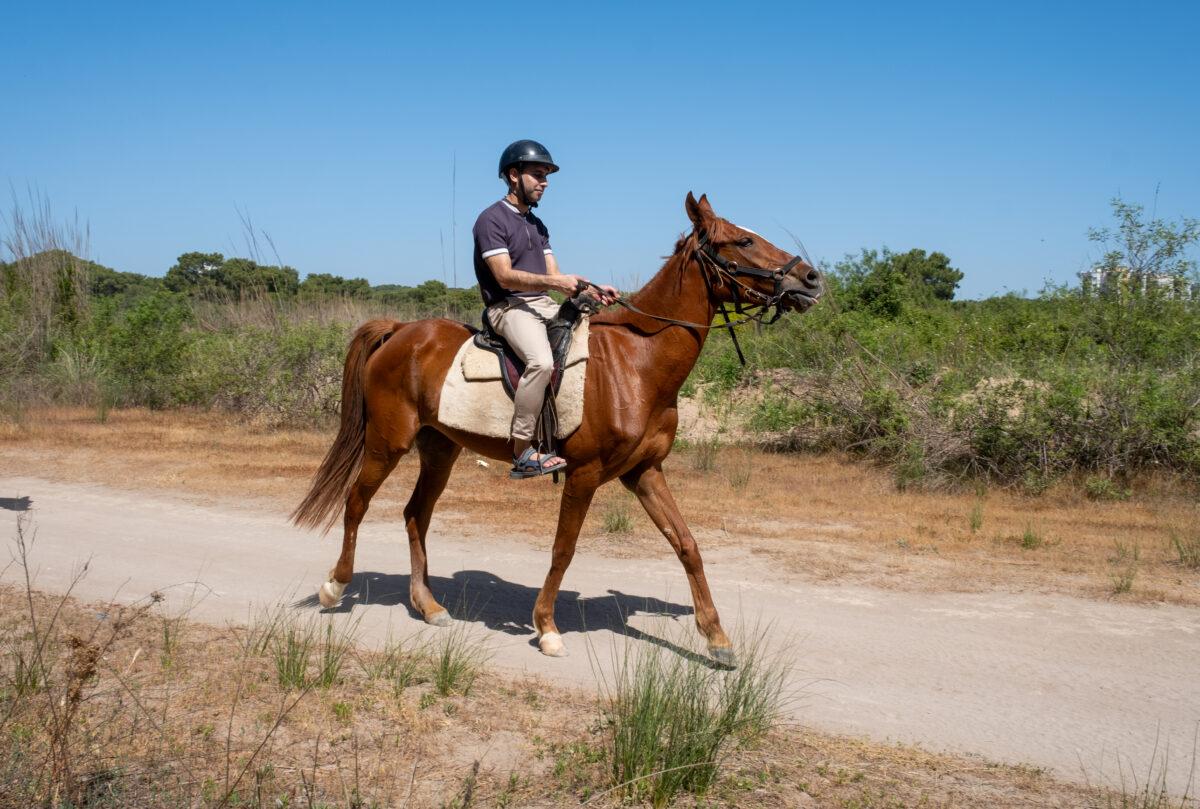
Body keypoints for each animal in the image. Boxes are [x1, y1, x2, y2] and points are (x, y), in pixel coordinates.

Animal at [291, 192, 820, 662]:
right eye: (743, 241)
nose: (812, 279)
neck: (637, 361)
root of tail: (401, 331)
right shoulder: (584, 474)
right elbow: (564, 549)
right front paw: (546, 628)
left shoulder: (645, 473)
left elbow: (687, 544)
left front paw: (717, 639)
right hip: (387, 443)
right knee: (357, 502)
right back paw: (334, 587)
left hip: (439, 450)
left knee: (415, 515)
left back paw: (429, 606)